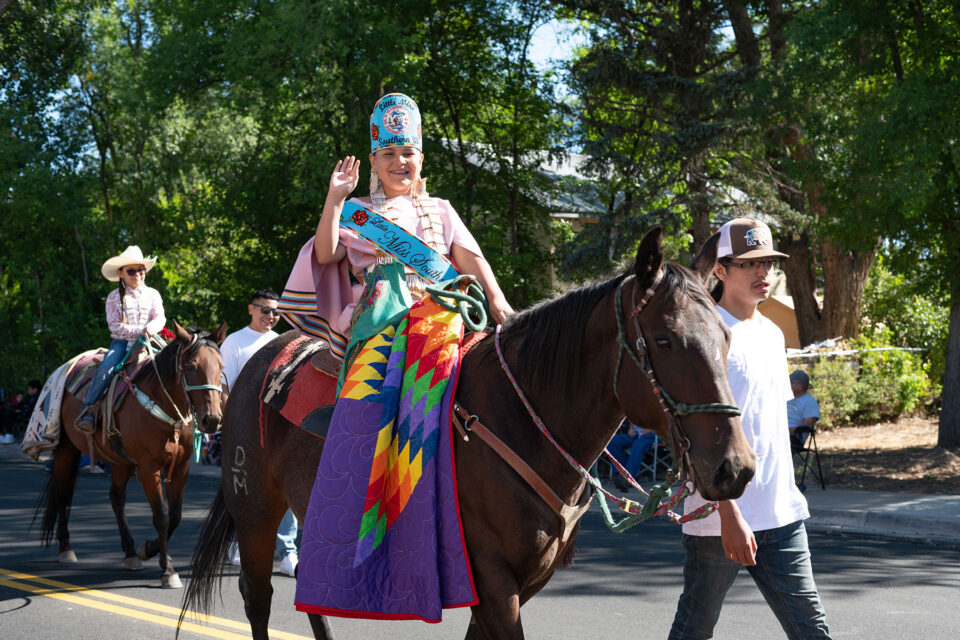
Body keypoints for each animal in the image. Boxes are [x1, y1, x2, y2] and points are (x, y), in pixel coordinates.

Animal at [34, 322, 226, 588]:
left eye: (221, 366)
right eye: (190, 366)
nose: (212, 419)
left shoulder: (181, 466)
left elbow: (176, 516)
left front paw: (148, 550)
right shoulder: (149, 467)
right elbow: (162, 515)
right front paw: (168, 570)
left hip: (119, 462)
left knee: (116, 499)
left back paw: (131, 553)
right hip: (66, 450)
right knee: (63, 494)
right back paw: (66, 548)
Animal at [176, 228, 752, 636]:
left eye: (727, 337)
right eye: (666, 339)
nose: (735, 468)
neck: (520, 422)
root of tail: (263, 357)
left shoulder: (522, 582)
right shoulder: (494, 582)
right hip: (255, 513)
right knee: (257, 601)